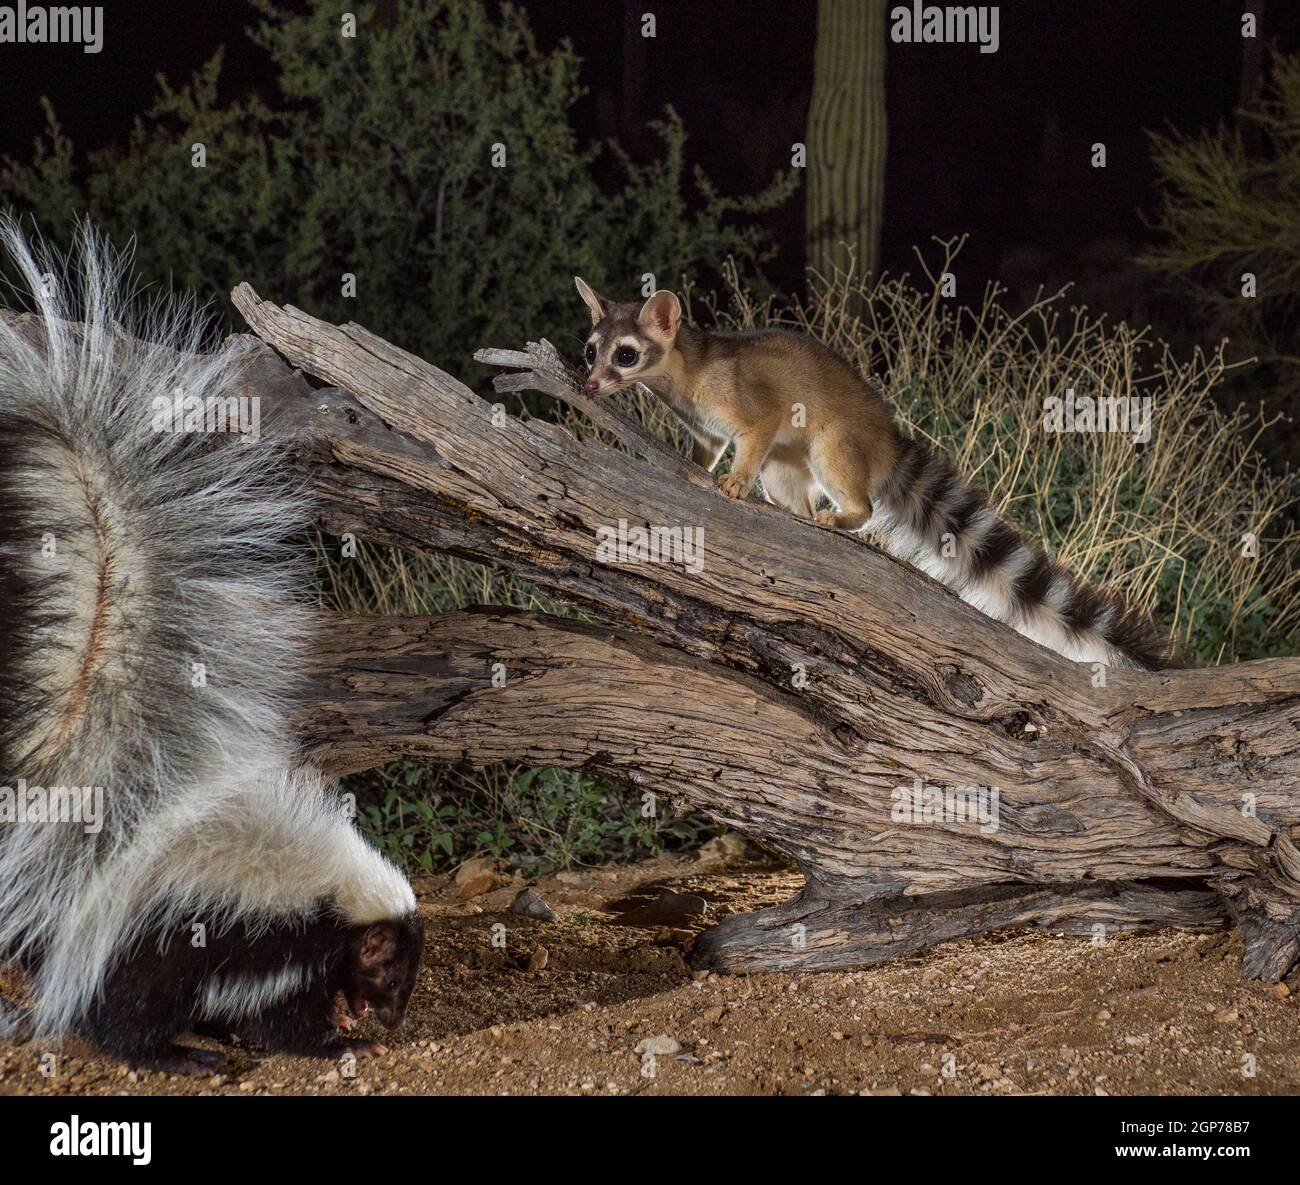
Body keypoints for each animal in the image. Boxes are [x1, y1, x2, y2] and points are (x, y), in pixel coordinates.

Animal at [0, 219, 423, 1075]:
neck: (334, 891)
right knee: (122, 1013)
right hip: (140, 942)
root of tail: (87, 864)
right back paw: (179, 1055)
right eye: (390, 972)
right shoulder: (265, 933)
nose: (392, 1016)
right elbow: (278, 1010)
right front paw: (329, 1039)